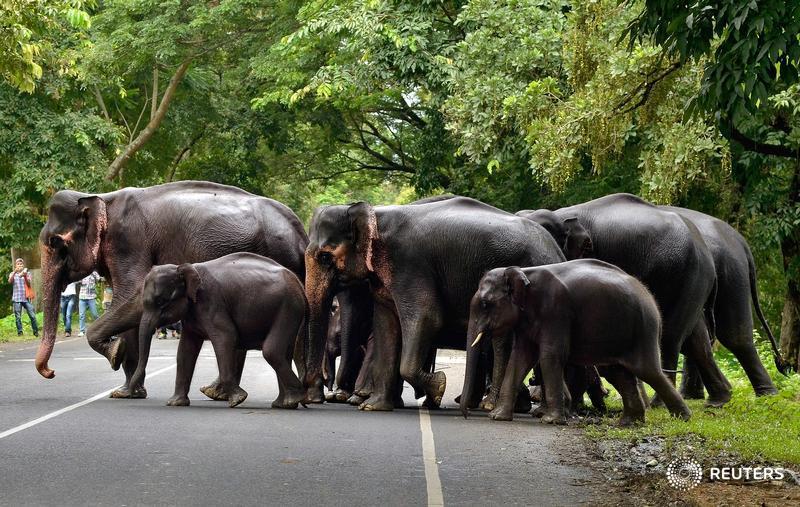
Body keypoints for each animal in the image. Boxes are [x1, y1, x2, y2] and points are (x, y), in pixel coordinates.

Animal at [133, 253, 307, 408]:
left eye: (161, 302)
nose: (136, 393)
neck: (184, 267)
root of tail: (299, 283)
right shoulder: (192, 314)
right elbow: (185, 350)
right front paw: (175, 403)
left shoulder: (211, 302)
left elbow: (226, 337)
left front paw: (238, 400)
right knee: (284, 352)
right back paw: (284, 404)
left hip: (288, 308)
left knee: (272, 351)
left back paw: (296, 397)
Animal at [304, 196, 566, 411]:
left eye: (325, 256)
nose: (311, 399)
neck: (376, 213)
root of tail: (556, 250)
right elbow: (386, 326)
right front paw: (373, 407)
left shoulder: (410, 265)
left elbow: (427, 317)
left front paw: (438, 387)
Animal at [461, 262, 692, 426]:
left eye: (485, 304)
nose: (466, 415)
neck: (523, 271)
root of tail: (649, 296)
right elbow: (520, 358)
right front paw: (497, 417)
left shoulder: (556, 311)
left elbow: (550, 356)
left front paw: (551, 421)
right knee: (617, 373)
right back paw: (628, 423)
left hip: (643, 329)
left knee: (647, 371)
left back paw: (682, 418)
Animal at [517, 193, 732, 407]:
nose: (533, 384)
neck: (561, 214)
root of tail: (705, 250)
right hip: (693, 282)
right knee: (696, 338)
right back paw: (719, 399)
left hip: (687, 276)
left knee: (671, 337)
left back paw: (658, 404)